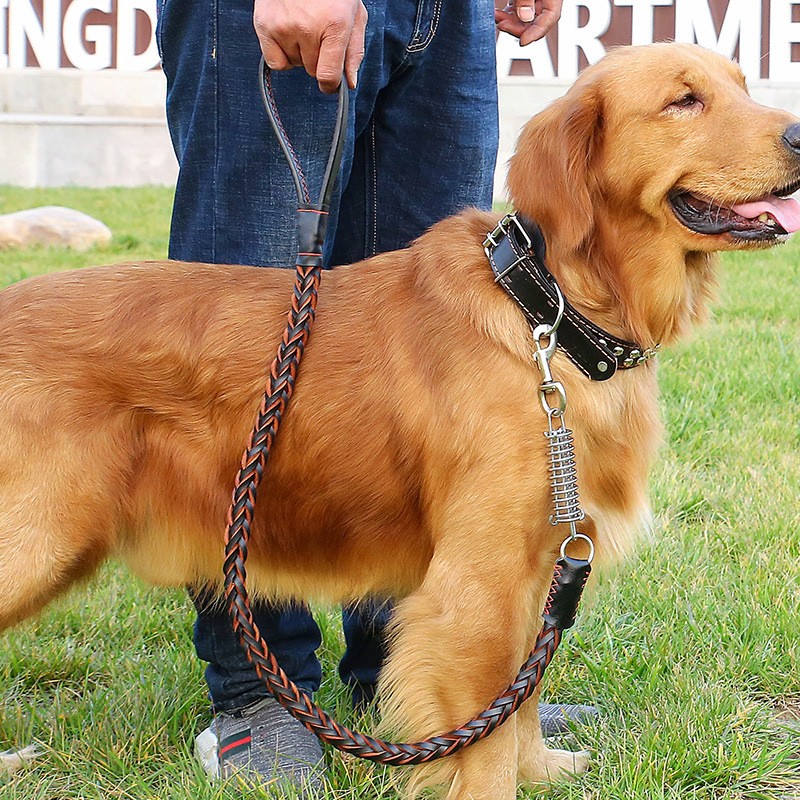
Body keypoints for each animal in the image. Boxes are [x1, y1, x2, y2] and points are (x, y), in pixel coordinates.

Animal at [1, 42, 800, 792]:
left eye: (743, 85)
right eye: (684, 100)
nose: (799, 133)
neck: (549, 312)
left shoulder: (542, 564)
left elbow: (522, 700)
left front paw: (540, 768)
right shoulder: (476, 588)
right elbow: (484, 736)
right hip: (38, 539)